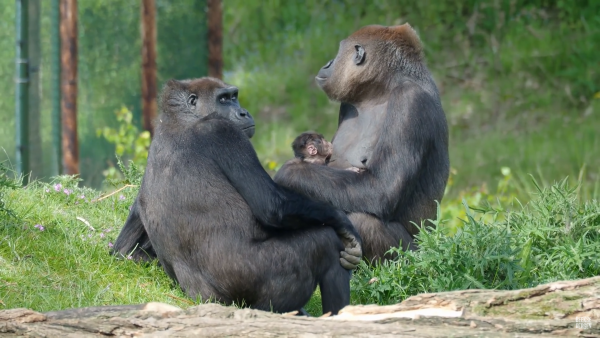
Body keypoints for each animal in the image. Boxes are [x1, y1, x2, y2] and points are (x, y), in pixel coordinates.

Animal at [115, 76, 364, 314]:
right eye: (224, 99)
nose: (243, 112)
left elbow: (122, 249)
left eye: (234, 96)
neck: (180, 118)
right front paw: (344, 224)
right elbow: (274, 206)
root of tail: (201, 299)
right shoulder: (222, 131)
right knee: (323, 242)